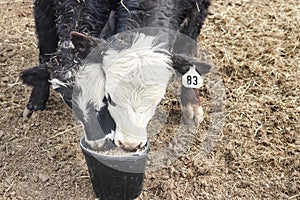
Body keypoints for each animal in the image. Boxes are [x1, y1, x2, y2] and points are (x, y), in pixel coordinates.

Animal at [20, 0, 211, 150]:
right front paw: (36, 101)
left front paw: (192, 105)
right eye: (110, 97)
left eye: (156, 102)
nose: (129, 144)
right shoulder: (41, 9)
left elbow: (189, 48)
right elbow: (45, 49)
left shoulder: (198, 9)